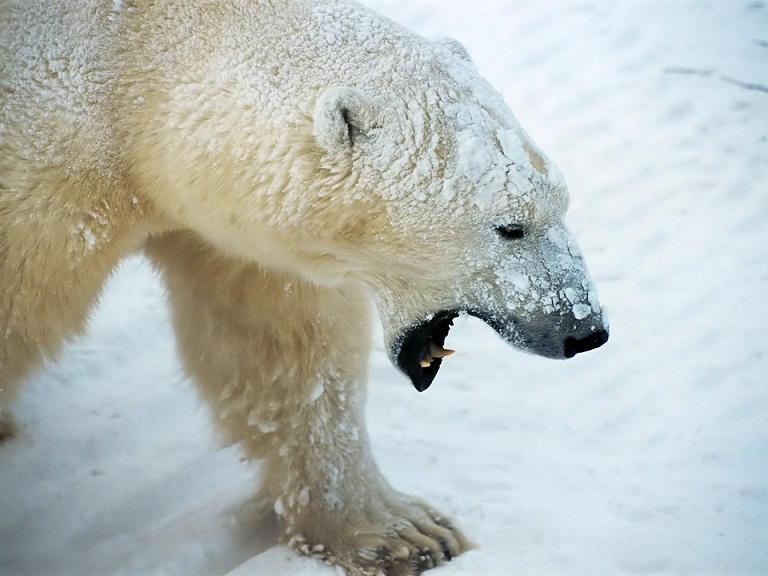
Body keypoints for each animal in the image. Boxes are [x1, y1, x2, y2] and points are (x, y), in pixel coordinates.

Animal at [3, 0, 608, 572]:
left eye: (562, 202)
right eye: (510, 226)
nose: (586, 330)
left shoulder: (238, 233)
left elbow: (282, 346)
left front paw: (407, 534)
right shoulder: (42, 185)